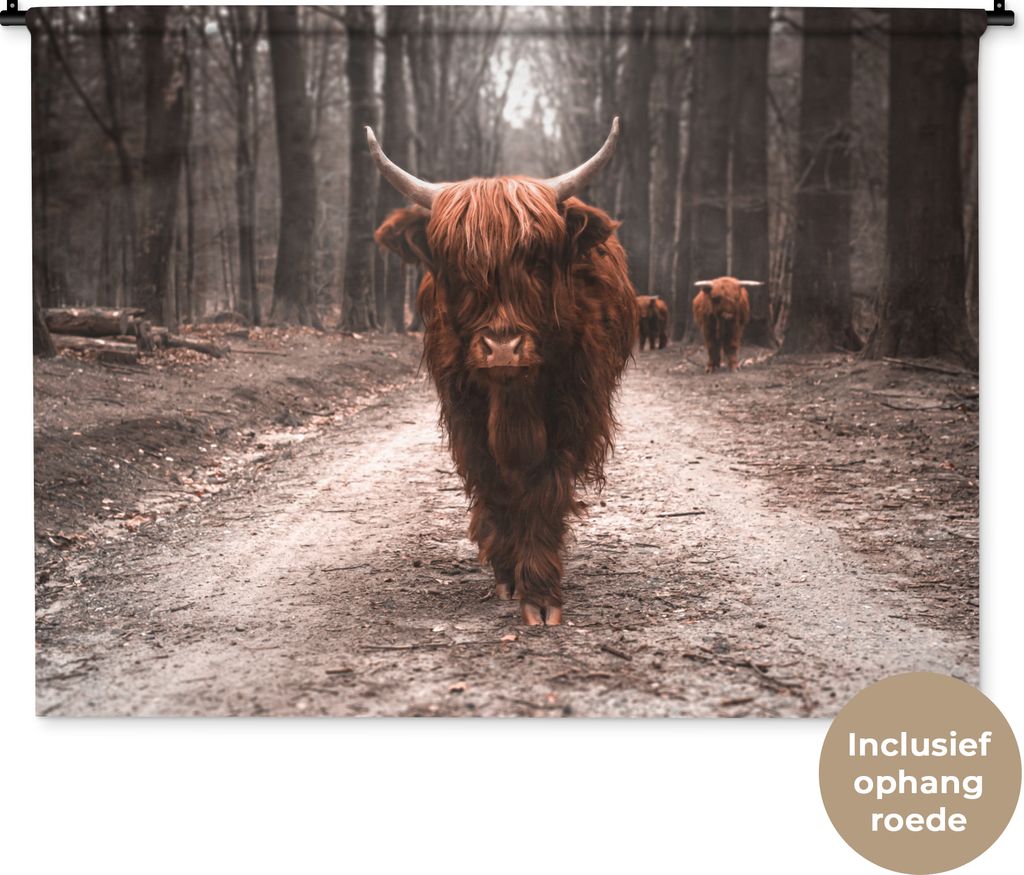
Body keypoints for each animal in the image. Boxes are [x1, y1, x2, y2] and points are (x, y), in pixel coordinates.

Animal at [369, 119, 637, 625]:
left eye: (536, 261)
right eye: (457, 267)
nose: (502, 349)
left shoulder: (572, 412)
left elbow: (544, 488)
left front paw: (541, 593)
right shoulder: (465, 415)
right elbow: (494, 484)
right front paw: (508, 574)